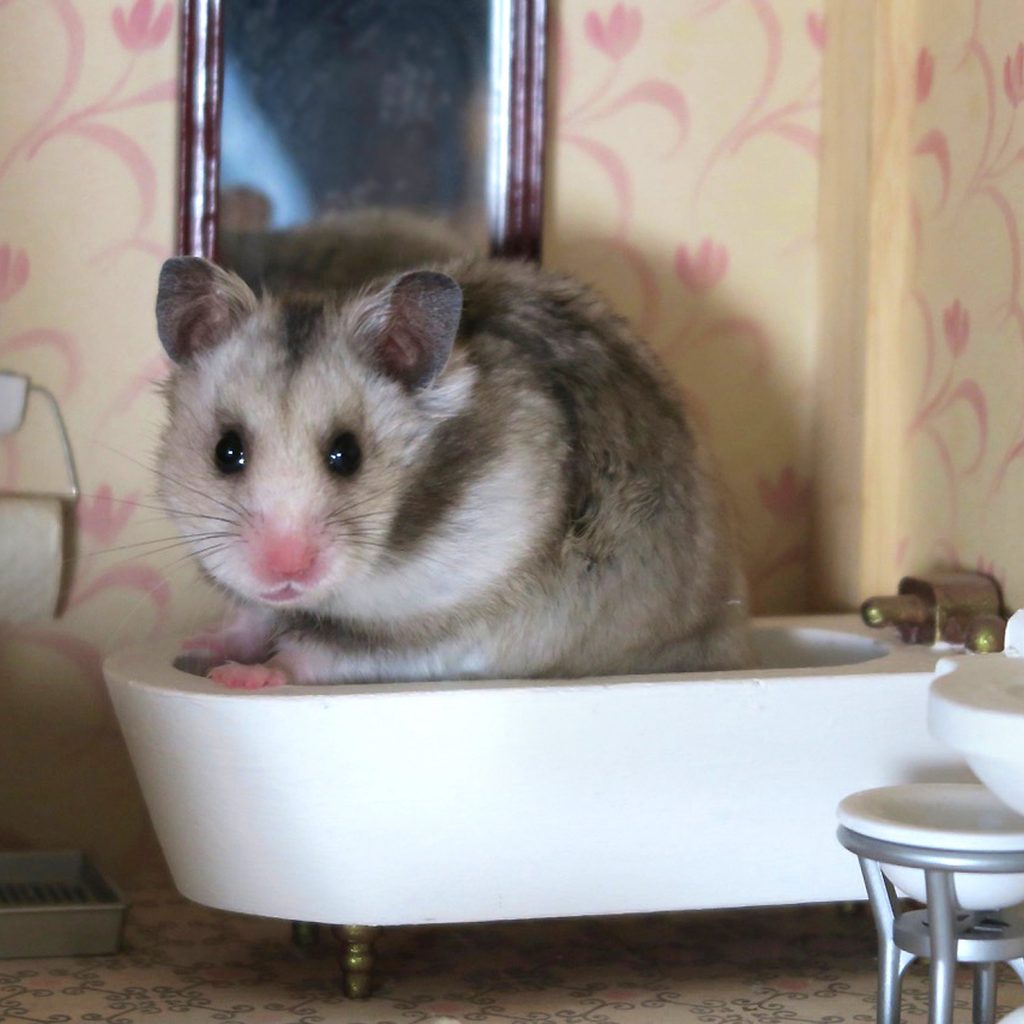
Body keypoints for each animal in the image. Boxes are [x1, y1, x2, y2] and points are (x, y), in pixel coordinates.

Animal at [154, 255, 749, 687]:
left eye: (347, 454)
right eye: (226, 451)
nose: (284, 572)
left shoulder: (449, 631)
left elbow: (318, 655)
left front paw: (240, 677)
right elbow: (252, 617)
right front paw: (197, 648)